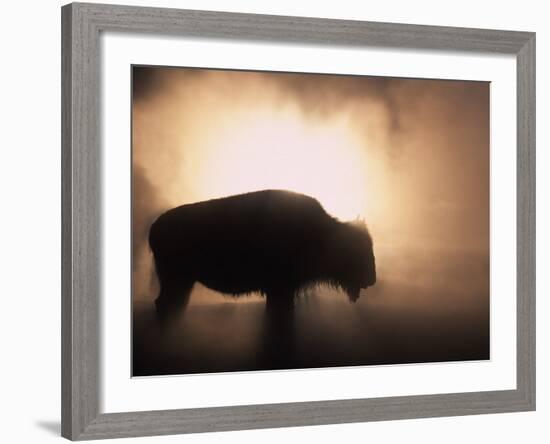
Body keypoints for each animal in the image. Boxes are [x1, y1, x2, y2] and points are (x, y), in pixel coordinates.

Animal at [149, 189, 378, 320]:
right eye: (358, 249)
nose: (372, 279)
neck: (323, 233)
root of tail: (155, 226)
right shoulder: (279, 289)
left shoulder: (282, 290)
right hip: (175, 280)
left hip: (183, 282)